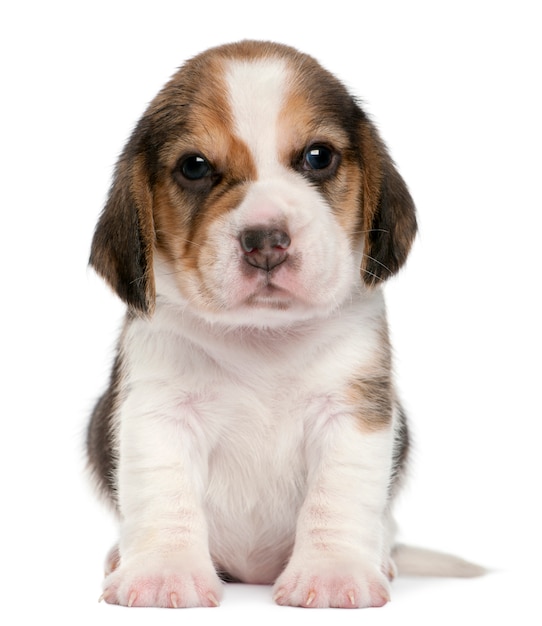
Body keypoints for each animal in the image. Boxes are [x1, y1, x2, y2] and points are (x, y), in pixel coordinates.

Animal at [88, 39, 480, 604]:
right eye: (194, 167)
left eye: (318, 156)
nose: (266, 241)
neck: (263, 338)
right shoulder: (158, 412)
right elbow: (165, 494)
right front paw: (164, 571)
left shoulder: (351, 411)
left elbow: (337, 496)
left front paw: (333, 571)